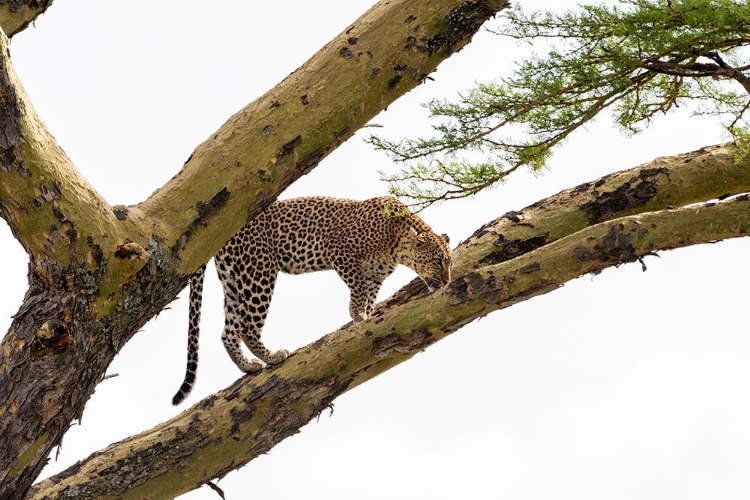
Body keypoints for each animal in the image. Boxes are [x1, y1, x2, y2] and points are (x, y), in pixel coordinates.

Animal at [173, 195, 452, 406]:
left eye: (449, 263)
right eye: (437, 261)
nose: (448, 281)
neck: (398, 244)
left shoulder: (374, 275)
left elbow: (370, 296)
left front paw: (367, 315)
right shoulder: (341, 252)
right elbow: (359, 289)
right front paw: (357, 314)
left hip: (234, 281)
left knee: (228, 332)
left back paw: (248, 366)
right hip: (259, 273)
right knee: (247, 327)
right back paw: (272, 357)